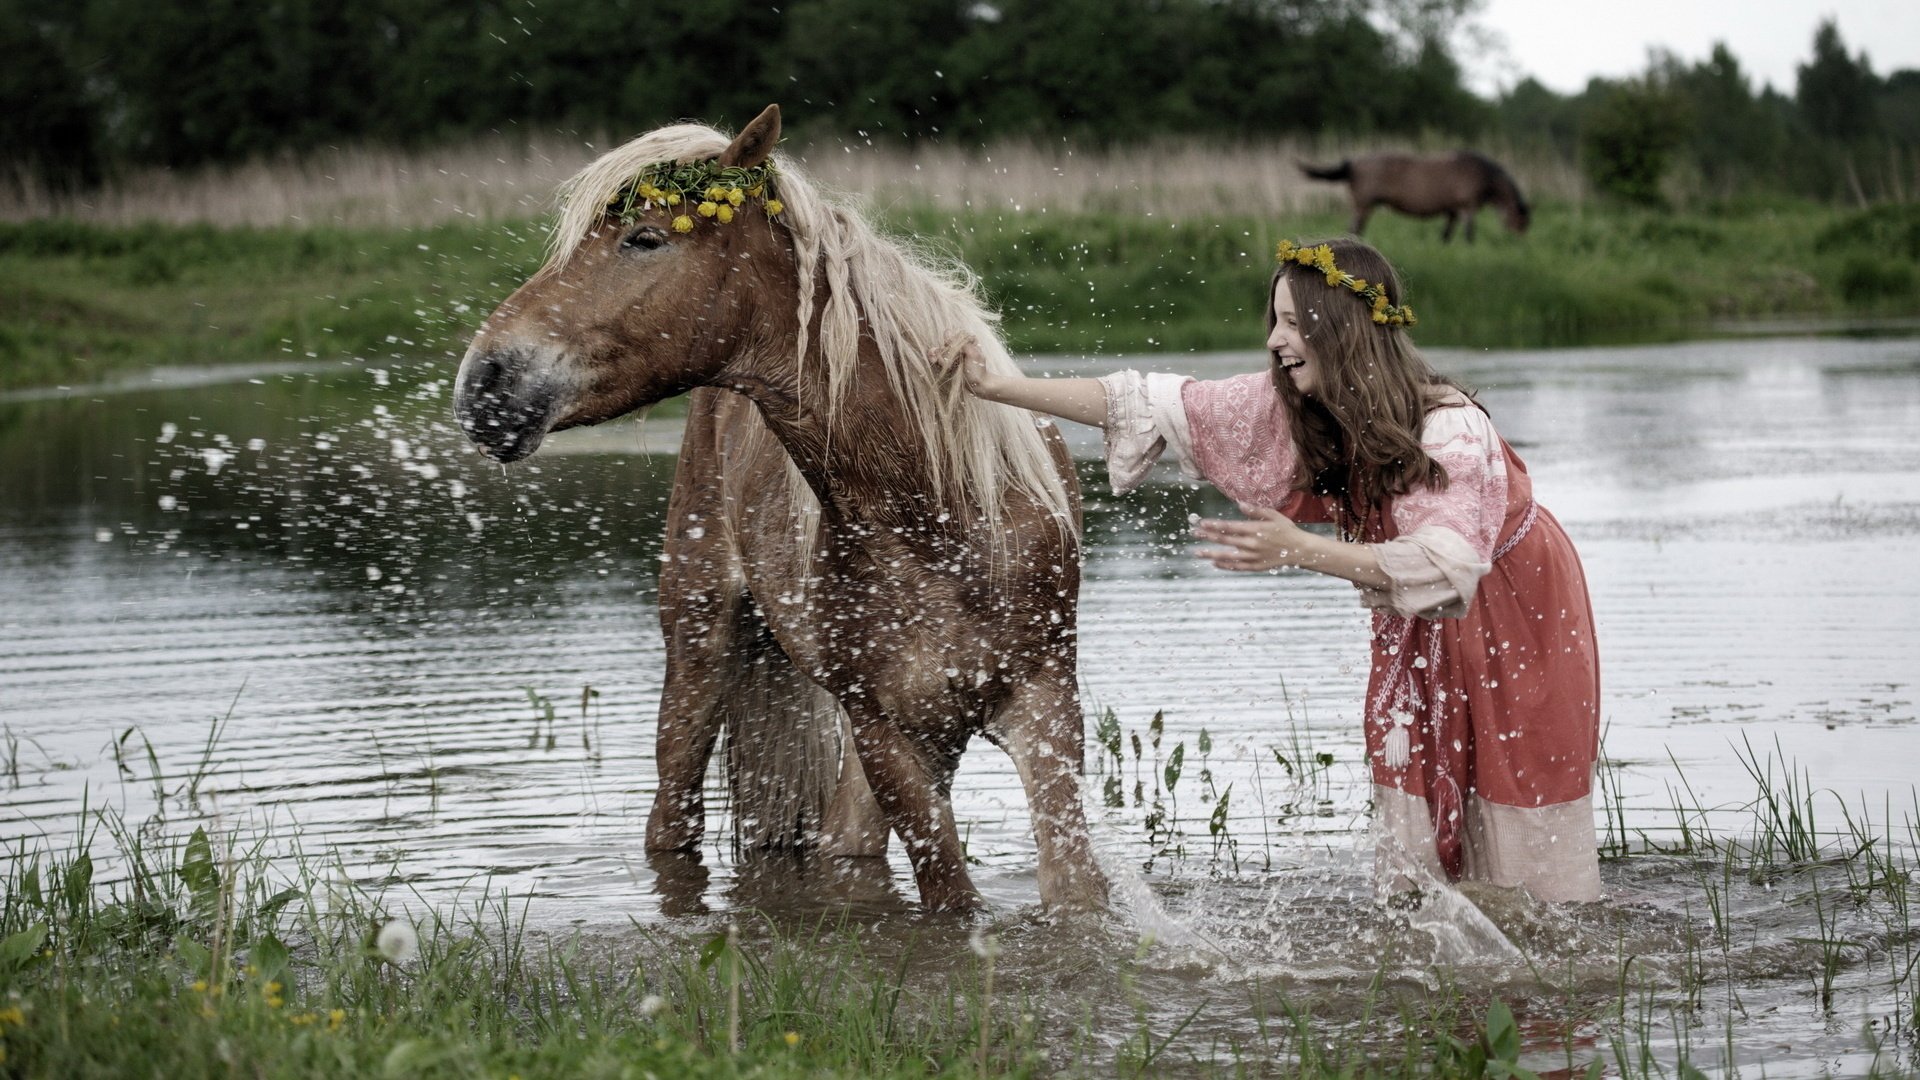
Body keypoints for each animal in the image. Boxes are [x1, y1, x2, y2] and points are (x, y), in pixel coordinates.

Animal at [453, 102, 1113, 907]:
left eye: (644, 238)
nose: (484, 381)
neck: (939, 514)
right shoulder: (888, 732)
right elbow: (952, 896)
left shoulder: (1043, 709)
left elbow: (1073, 894)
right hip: (702, 651)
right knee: (674, 821)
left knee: (839, 845)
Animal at [1305, 151, 1528, 242]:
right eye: (1520, 222)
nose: (1518, 241)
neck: (1481, 173)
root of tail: (1352, 164)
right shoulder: (1467, 208)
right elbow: (1469, 235)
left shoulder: (1453, 212)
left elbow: (1445, 236)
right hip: (1363, 207)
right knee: (1353, 229)